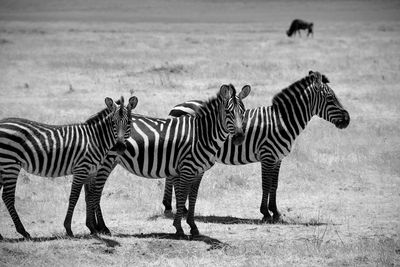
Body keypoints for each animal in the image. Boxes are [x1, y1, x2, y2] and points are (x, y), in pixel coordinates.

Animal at [0, 96, 138, 239]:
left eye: (129, 122)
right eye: (113, 122)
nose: (120, 147)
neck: (95, 139)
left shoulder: (91, 171)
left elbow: (90, 196)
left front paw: (93, 228)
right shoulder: (81, 169)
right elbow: (74, 197)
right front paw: (68, 228)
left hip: (4, 165)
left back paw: (2, 236)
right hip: (10, 163)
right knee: (8, 196)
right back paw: (23, 231)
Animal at [87, 85, 250, 238]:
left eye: (243, 112)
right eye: (228, 112)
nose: (239, 138)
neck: (201, 135)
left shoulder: (199, 171)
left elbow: (193, 198)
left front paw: (193, 227)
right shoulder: (186, 168)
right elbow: (182, 197)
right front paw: (179, 228)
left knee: (91, 190)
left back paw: (93, 226)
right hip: (106, 161)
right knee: (95, 191)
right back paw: (102, 227)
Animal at [164, 71, 348, 224]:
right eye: (330, 98)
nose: (347, 120)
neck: (282, 121)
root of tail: (176, 106)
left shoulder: (278, 158)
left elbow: (275, 185)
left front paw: (275, 212)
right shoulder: (268, 155)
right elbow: (266, 184)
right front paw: (266, 213)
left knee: (171, 175)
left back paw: (173, 207)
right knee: (173, 177)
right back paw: (173, 208)